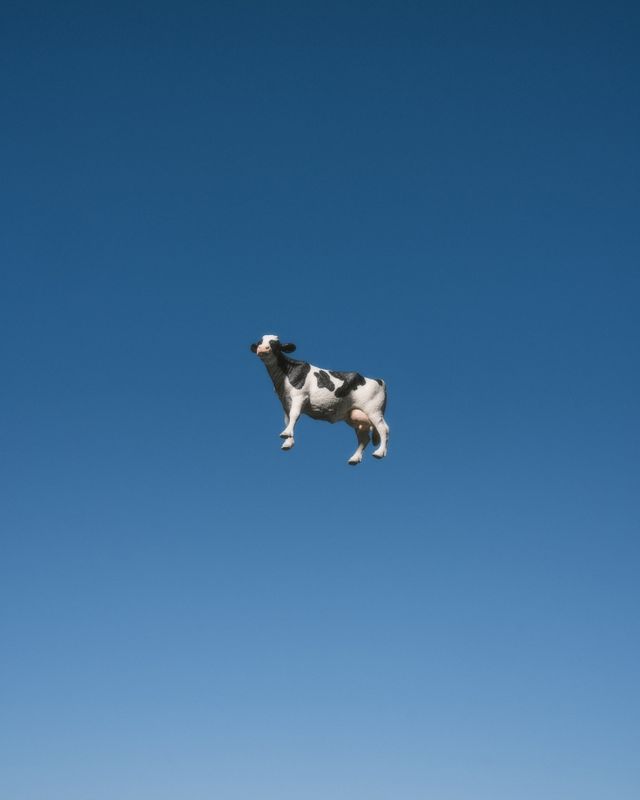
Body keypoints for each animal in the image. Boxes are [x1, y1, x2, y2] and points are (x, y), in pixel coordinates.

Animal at [250, 334, 389, 465]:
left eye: (275, 344)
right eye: (260, 342)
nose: (262, 348)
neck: (286, 374)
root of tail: (379, 381)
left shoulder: (300, 396)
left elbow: (295, 415)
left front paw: (285, 434)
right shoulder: (285, 403)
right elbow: (287, 419)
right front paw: (288, 442)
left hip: (373, 410)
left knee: (383, 429)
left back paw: (379, 452)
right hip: (355, 416)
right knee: (364, 438)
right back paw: (354, 459)